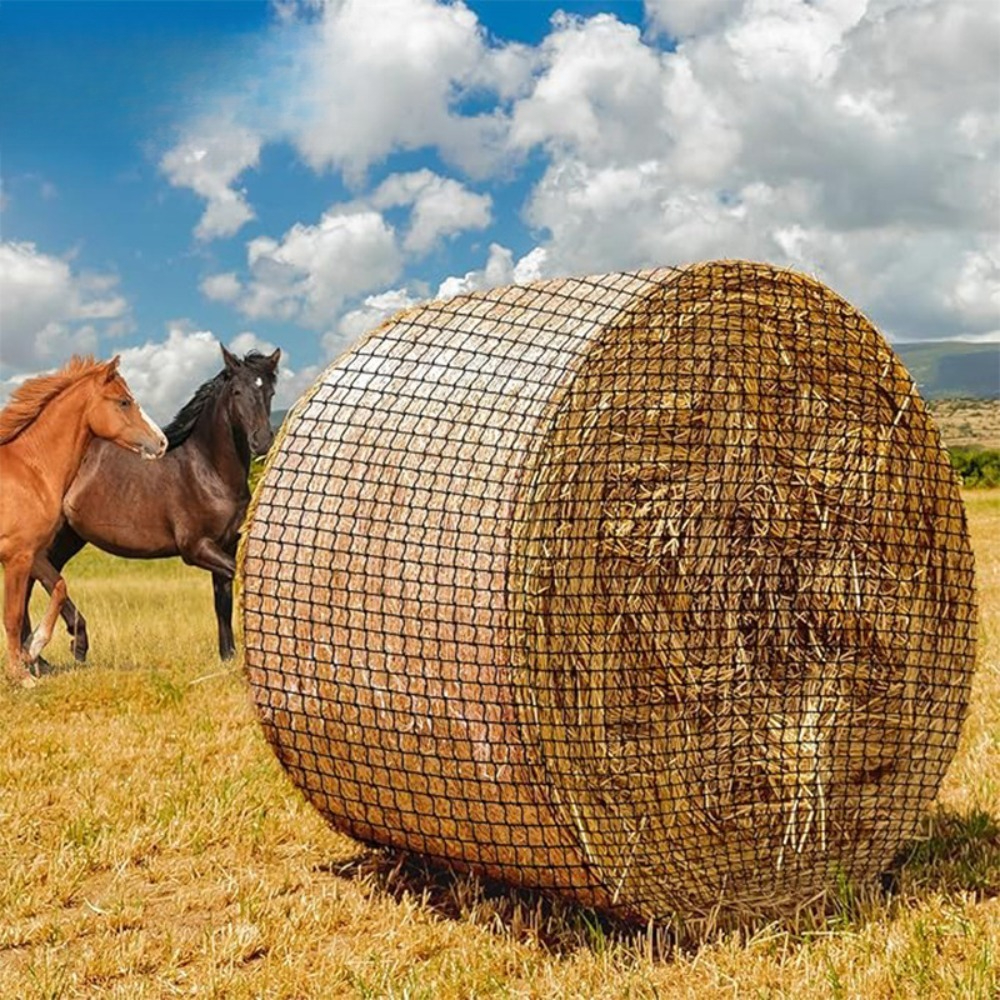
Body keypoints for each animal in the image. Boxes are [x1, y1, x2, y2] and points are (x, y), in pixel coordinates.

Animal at [1, 355, 167, 686]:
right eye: (124, 401)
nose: (162, 442)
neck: (32, 470)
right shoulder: (16, 556)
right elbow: (12, 616)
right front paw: (21, 676)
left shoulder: (34, 554)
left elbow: (60, 588)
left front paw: (33, 649)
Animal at [23, 345, 280, 664]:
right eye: (236, 391)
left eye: (269, 391)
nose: (262, 441)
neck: (208, 471)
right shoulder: (197, 548)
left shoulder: (226, 544)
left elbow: (222, 603)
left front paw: (228, 657)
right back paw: (65, 645)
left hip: (69, 537)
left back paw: (41, 656)